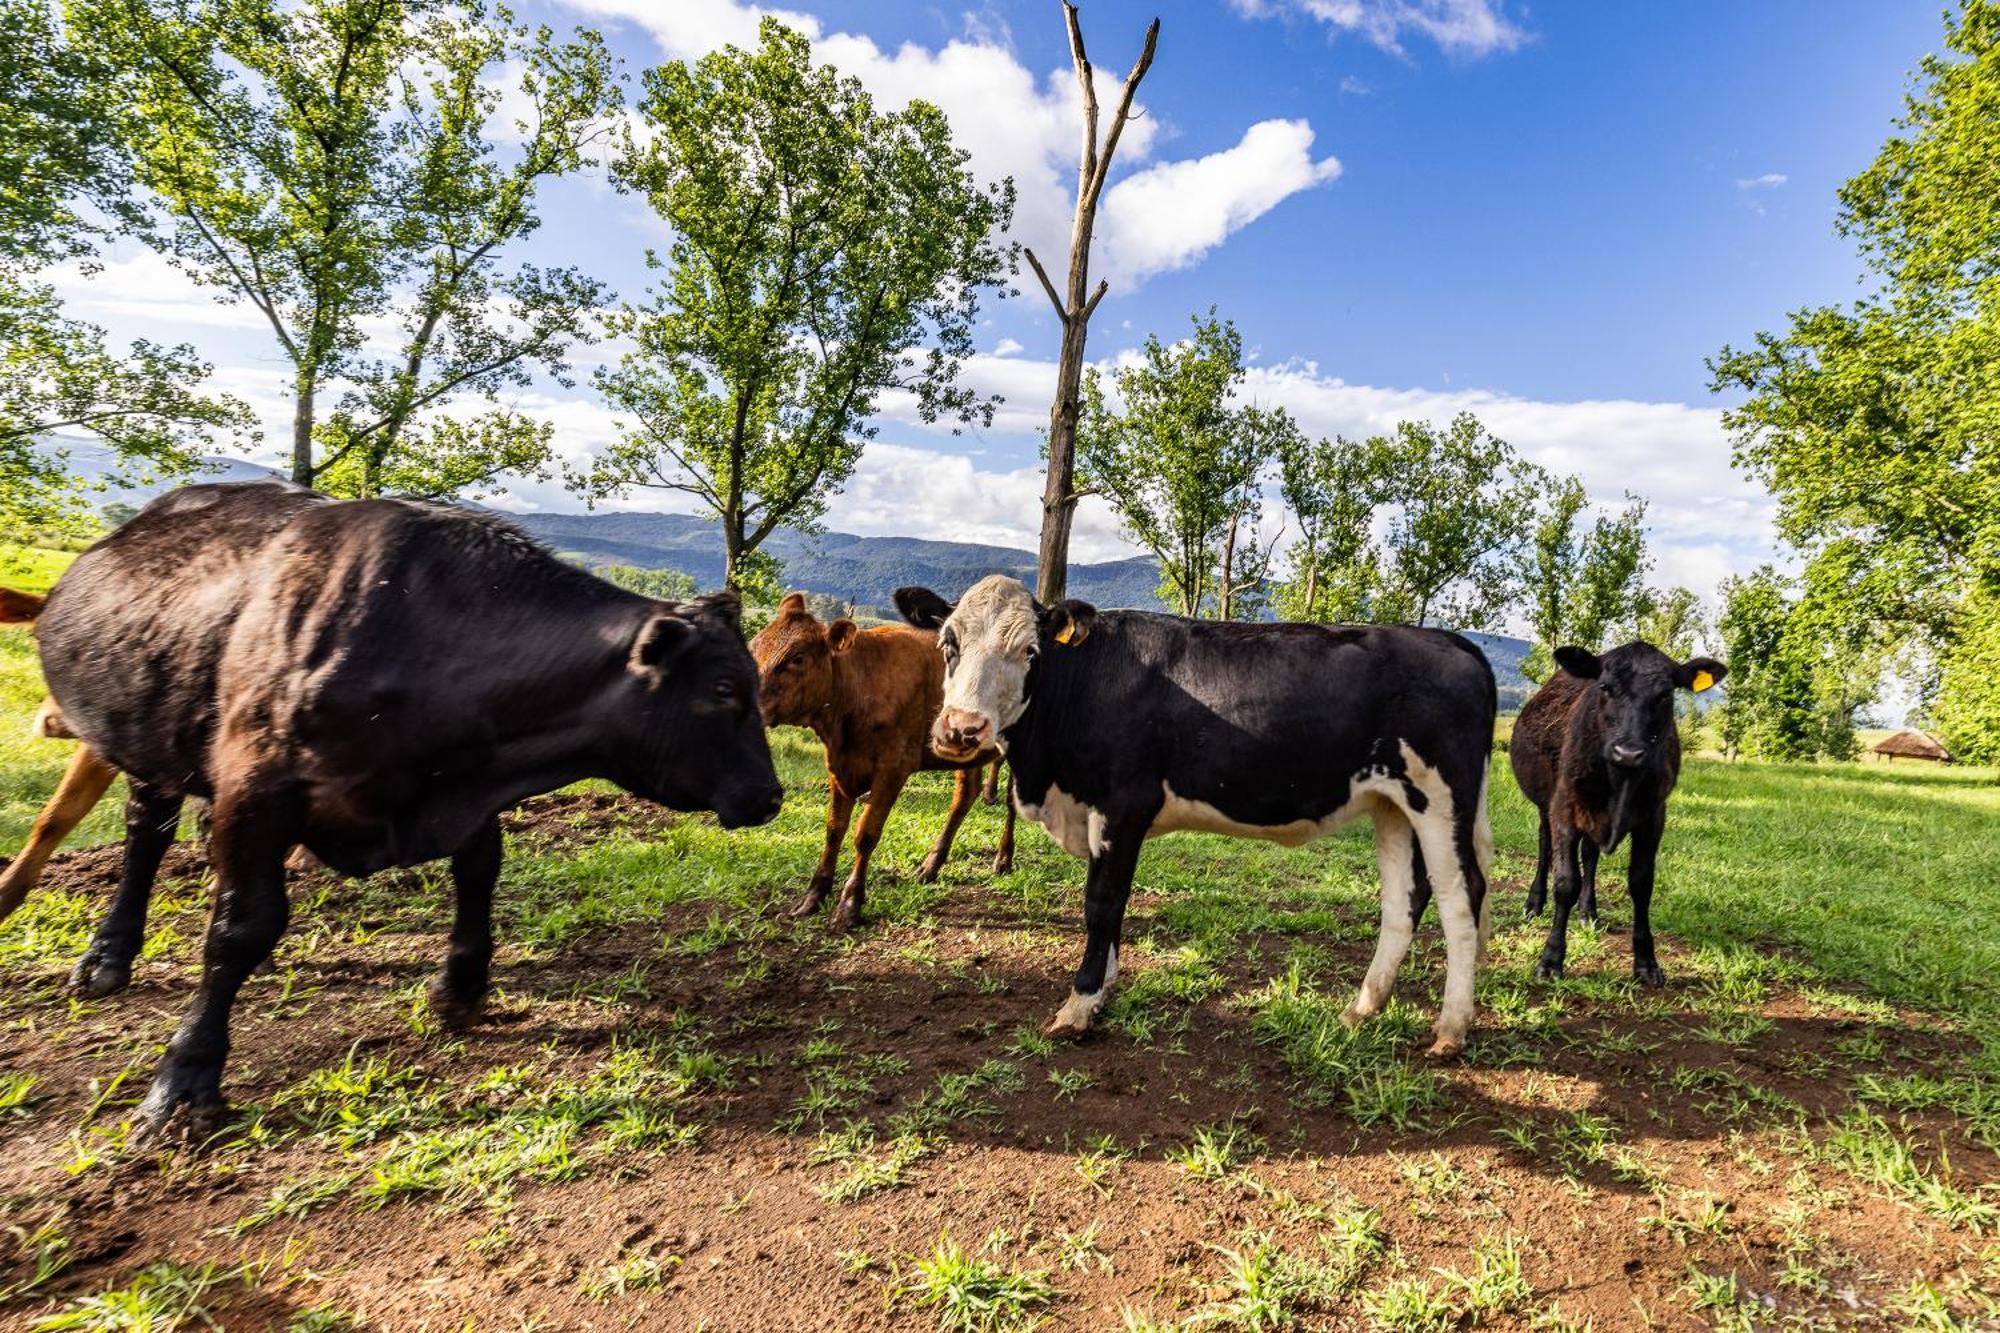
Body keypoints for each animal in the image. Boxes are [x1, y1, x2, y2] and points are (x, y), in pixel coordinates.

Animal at [33, 480, 780, 1128]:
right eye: (722, 688)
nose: (770, 796)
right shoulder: (256, 783)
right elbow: (241, 925)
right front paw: (183, 1082)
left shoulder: (469, 782)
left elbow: (479, 872)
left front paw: (461, 987)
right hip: (144, 743)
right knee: (146, 835)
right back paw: (107, 957)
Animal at [756, 588, 1024, 928]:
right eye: (754, 646)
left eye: (797, 658)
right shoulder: (839, 766)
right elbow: (833, 830)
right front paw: (814, 896)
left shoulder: (893, 768)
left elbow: (865, 834)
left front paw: (850, 904)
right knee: (965, 795)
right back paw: (931, 865)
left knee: (1011, 801)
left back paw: (1003, 858)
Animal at [896, 576, 1504, 1056]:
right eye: (949, 643)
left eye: (1029, 651)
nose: (962, 728)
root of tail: (1453, 643)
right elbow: (1112, 907)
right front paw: (1106, 987)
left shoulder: (1124, 804)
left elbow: (1101, 901)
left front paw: (1082, 1002)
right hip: (1391, 804)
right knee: (1405, 898)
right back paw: (1363, 1007)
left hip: (1440, 797)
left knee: (1461, 897)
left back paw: (1451, 1029)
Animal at [1504, 640, 1728, 980]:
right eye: (1605, 687)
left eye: (1666, 694)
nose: (1629, 752)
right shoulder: (1564, 808)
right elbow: (1565, 882)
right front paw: (1551, 959)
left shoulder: (1654, 816)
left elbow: (1641, 883)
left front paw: (1646, 962)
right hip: (1545, 804)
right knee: (1545, 846)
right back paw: (1534, 903)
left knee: (1590, 856)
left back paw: (1588, 911)